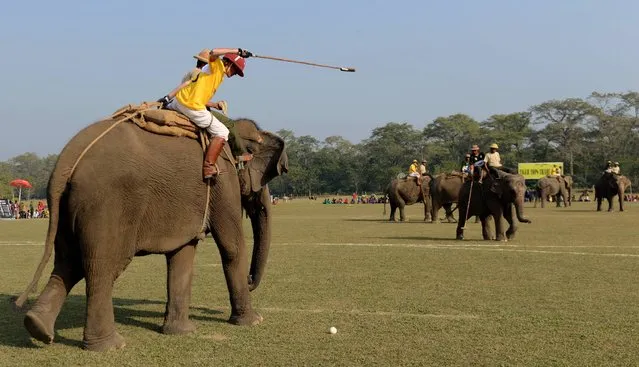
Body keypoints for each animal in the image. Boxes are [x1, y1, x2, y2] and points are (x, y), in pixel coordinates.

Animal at [13, 116, 288, 352]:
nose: (251, 280)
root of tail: (68, 157)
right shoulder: (223, 180)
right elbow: (232, 246)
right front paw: (253, 321)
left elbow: (183, 254)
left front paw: (181, 332)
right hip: (105, 206)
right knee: (100, 268)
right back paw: (110, 346)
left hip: (68, 206)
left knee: (67, 264)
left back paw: (37, 327)